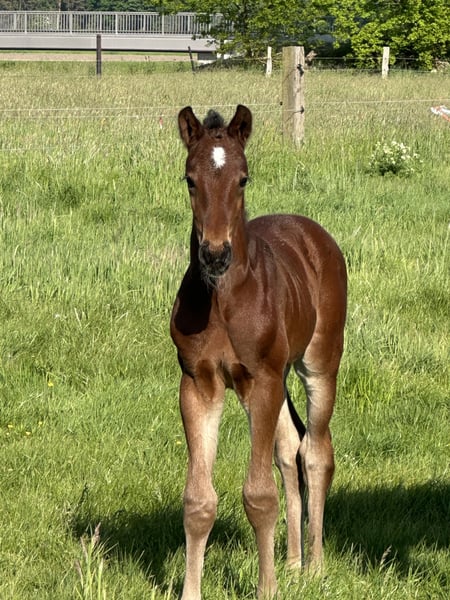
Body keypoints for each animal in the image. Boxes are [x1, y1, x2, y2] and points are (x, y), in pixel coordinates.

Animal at [170, 105, 347, 599]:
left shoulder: (261, 380)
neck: (222, 300)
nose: (214, 253)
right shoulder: (199, 384)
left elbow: (259, 495)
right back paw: (292, 563)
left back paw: (315, 566)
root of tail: (312, 232)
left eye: (243, 179)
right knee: (290, 446)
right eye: (190, 179)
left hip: (317, 365)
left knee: (316, 451)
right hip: (280, 377)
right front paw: (191, 591)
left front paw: (266, 589)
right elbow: (198, 500)